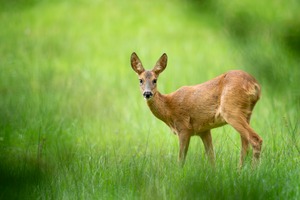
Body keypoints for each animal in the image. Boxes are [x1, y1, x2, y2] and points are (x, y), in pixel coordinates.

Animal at [130, 52, 264, 167]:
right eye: (140, 80)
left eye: (155, 80)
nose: (147, 93)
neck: (169, 108)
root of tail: (255, 85)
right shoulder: (204, 130)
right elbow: (212, 159)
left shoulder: (183, 127)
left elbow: (181, 160)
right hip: (246, 113)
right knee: (245, 145)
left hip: (231, 110)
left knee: (255, 139)